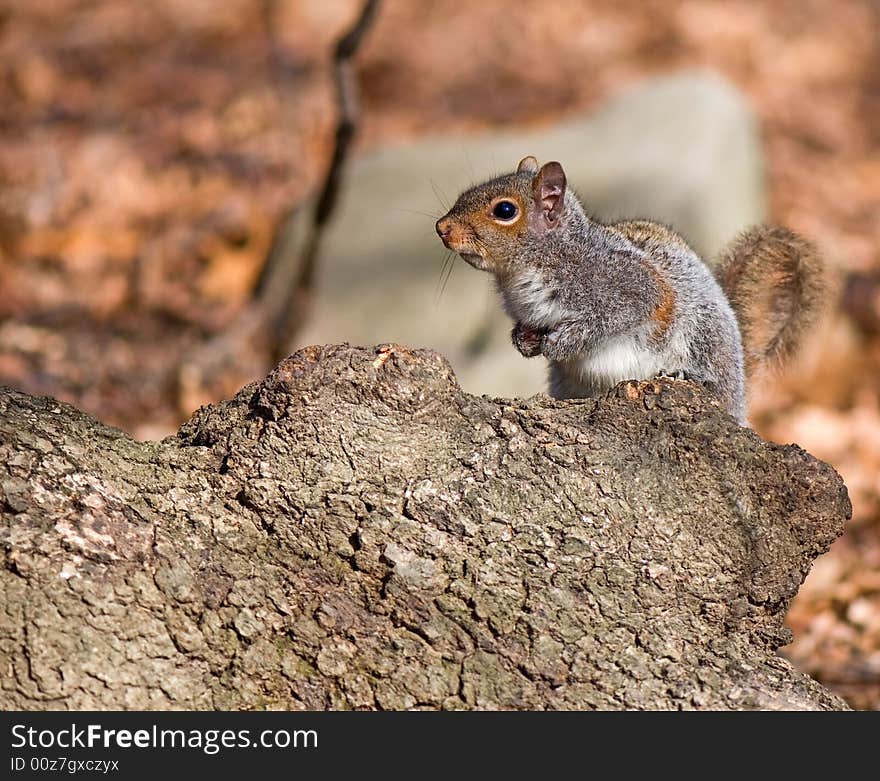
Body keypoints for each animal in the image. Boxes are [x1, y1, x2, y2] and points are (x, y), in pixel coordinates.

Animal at [436, 155, 828, 424]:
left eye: (504, 210)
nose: (442, 228)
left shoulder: (633, 286)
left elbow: (613, 318)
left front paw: (561, 343)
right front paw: (525, 340)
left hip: (705, 337)